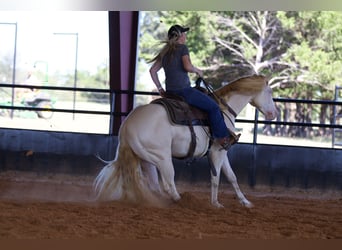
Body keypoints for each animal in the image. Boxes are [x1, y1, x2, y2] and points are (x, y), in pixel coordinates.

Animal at [93, 74, 278, 207]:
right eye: (270, 92)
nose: (274, 114)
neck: (223, 110)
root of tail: (127, 125)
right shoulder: (217, 151)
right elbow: (216, 177)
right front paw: (216, 203)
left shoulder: (223, 152)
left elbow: (232, 177)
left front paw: (245, 202)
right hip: (162, 158)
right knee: (168, 184)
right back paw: (183, 201)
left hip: (147, 160)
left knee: (154, 185)